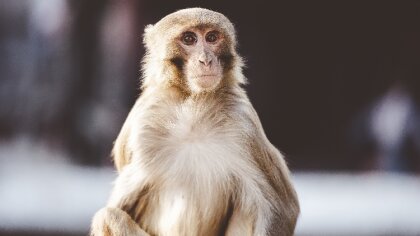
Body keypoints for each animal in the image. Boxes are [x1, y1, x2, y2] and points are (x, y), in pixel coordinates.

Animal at [90, 7, 298, 236]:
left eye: (212, 38)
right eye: (189, 39)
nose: (205, 60)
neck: (193, 106)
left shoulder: (243, 122)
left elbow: (281, 207)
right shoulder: (144, 122)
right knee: (107, 215)